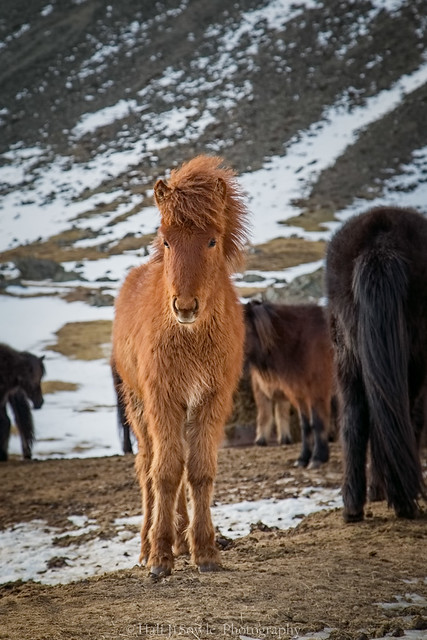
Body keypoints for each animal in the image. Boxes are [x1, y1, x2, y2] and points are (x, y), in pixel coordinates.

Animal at [112, 156, 249, 580]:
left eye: (211, 240)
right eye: (168, 239)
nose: (185, 306)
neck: (190, 340)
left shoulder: (210, 400)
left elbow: (199, 471)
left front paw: (204, 550)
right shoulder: (163, 399)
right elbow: (166, 473)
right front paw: (160, 556)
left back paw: (182, 535)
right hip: (138, 408)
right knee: (147, 469)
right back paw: (148, 545)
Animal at [244, 300, 334, 470]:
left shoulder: (316, 391)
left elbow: (318, 422)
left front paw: (317, 458)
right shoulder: (300, 394)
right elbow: (305, 425)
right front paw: (303, 458)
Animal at [326, 208, 426, 524]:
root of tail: (380, 245)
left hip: (347, 360)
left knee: (354, 420)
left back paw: (354, 506)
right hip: (412, 362)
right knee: (400, 415)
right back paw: (403, 500)